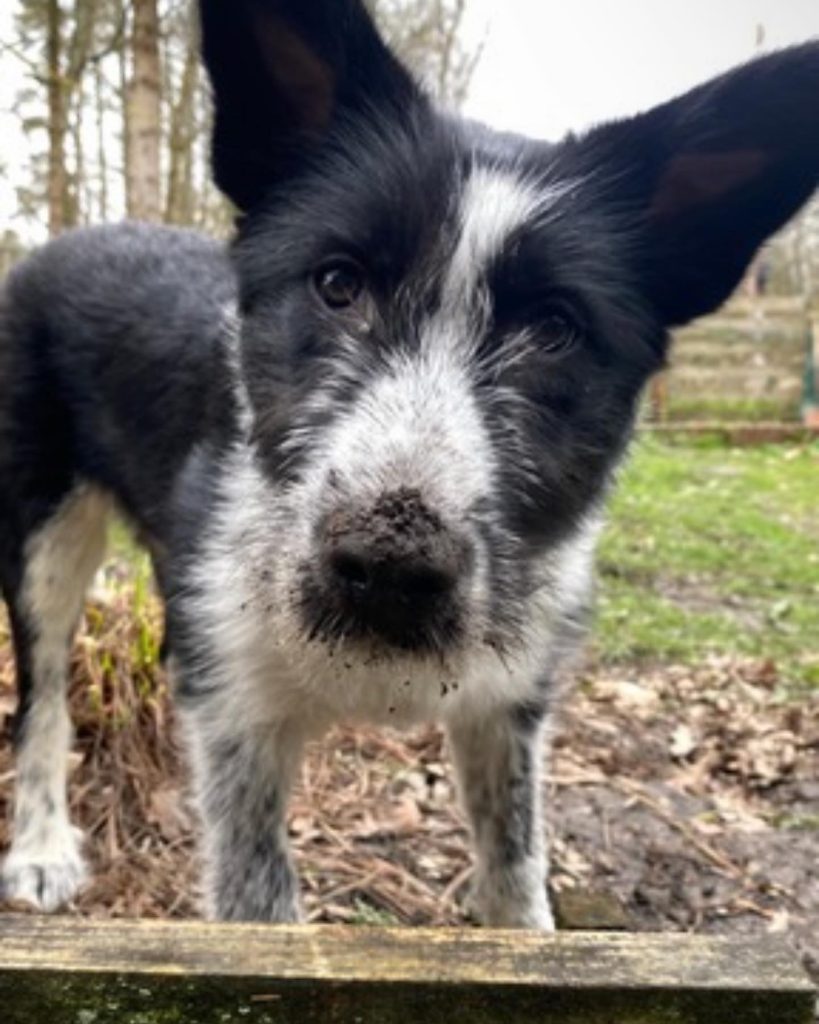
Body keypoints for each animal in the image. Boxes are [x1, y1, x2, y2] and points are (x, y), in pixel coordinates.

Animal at [1, 2, 818, 929]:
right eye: (337, 283)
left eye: (556, 329)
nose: (387, 569)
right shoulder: (236, 718)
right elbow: (258, 904)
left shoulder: (507, 707)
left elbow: (515, 866)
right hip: (43, 540)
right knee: (41, 702)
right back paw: (40, 848)